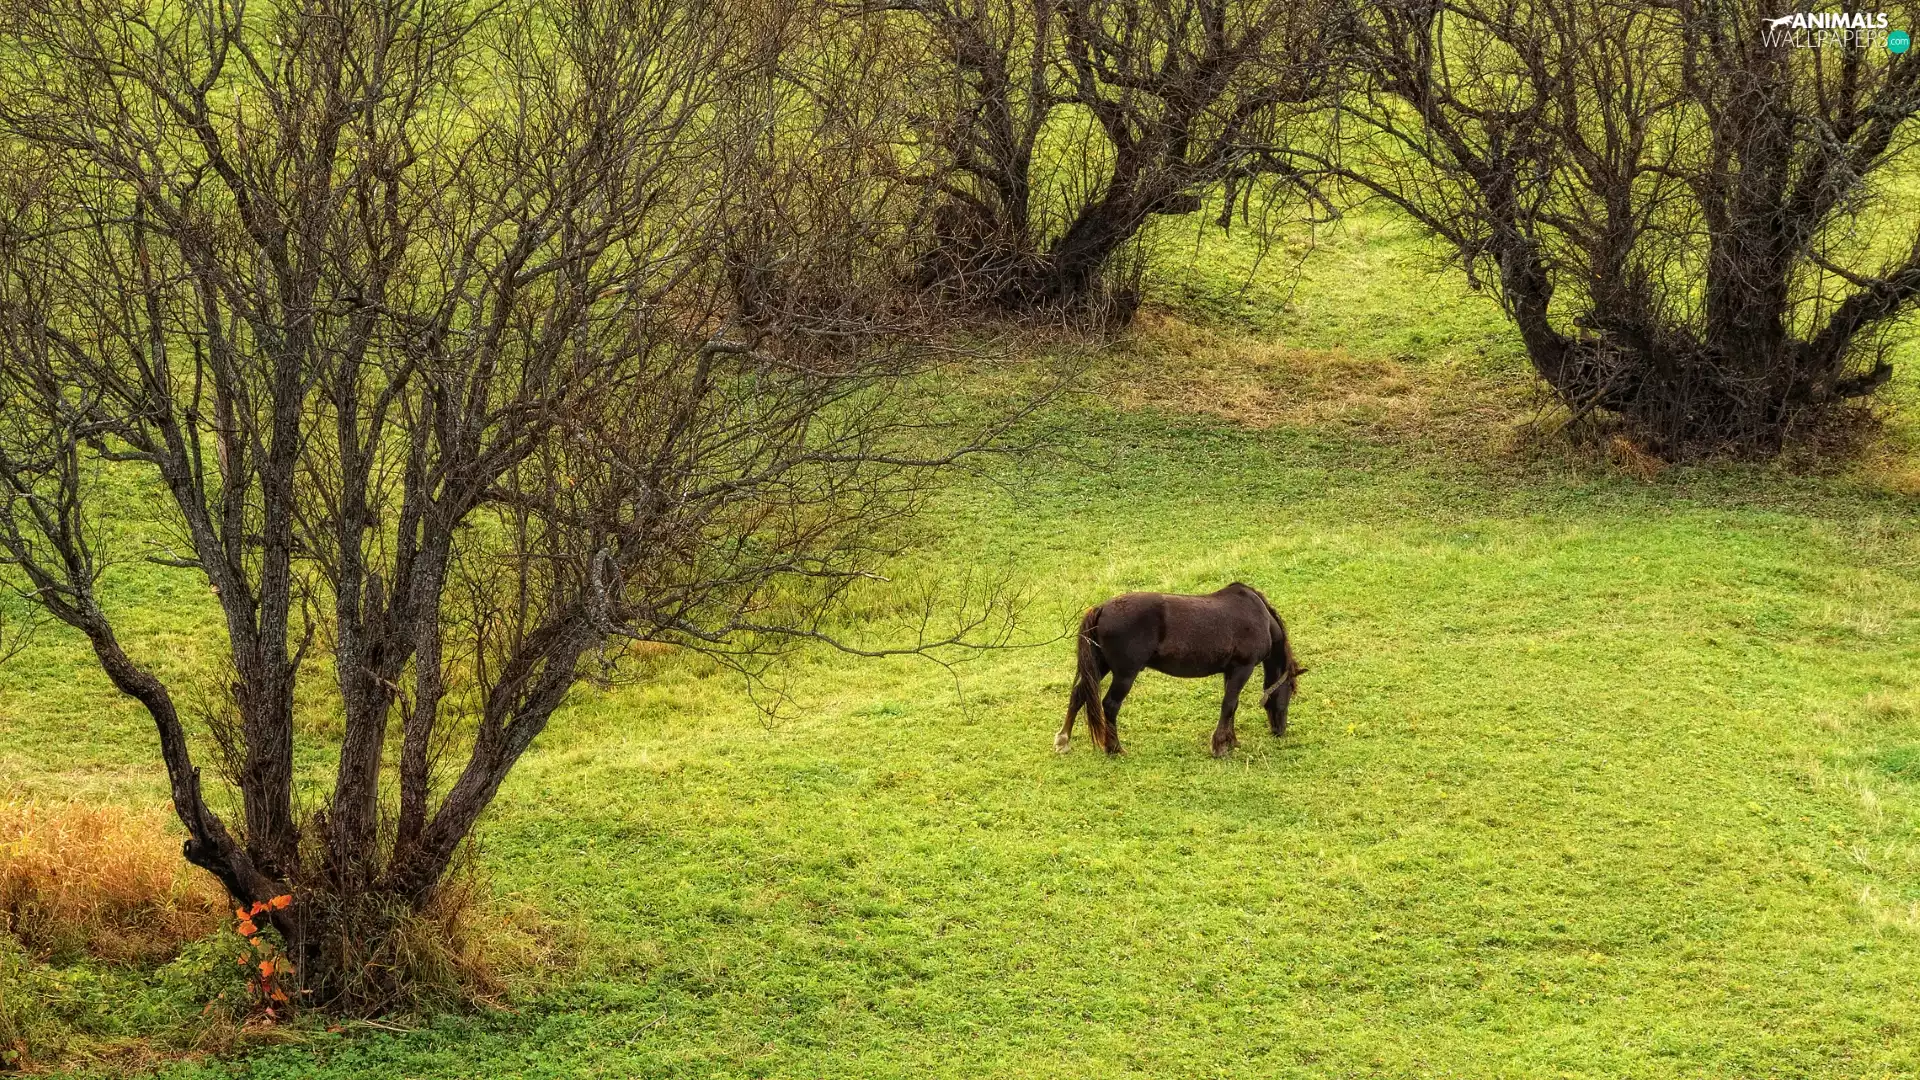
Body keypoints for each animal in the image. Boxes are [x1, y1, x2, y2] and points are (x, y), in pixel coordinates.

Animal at [1057, 583, 1305, 757]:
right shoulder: (1242, 669)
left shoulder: (1230, 672)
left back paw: (1063, 741)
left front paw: (1231, 741)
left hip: (1101, 667)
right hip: (1125, 674)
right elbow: (1229, 705)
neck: (1259, 616)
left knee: (1078, 694)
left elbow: (1231, 706)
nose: (1280, 730)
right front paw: (1219, 746)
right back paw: (1114, 748)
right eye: (1290, 692)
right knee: (1110, 705)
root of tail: (1102, 608)